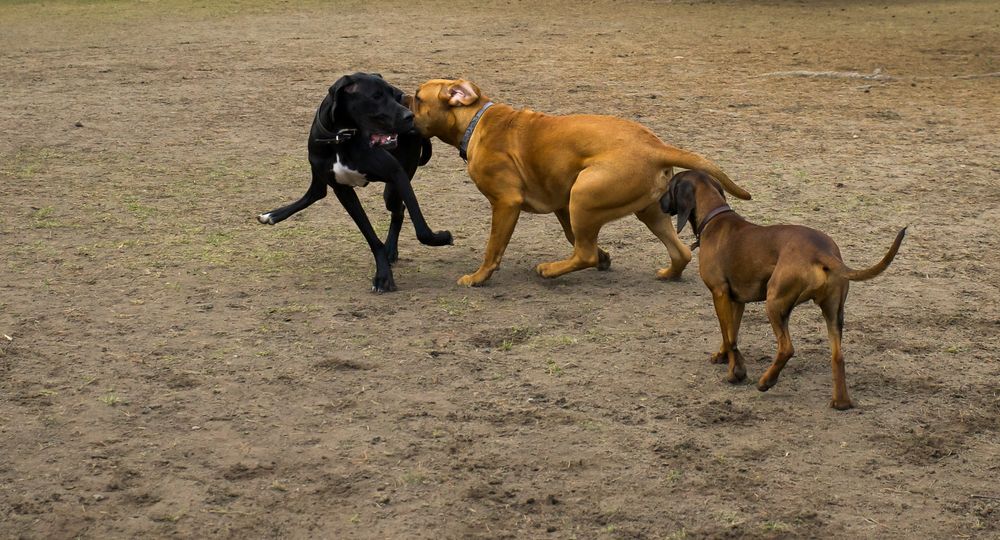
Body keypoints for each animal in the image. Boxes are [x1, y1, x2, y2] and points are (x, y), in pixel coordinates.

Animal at [256, 73, 452, 292]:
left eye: (393, 93)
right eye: (376, 96)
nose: (409, 116)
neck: (341, 138)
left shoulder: (396, 174)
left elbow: (422, 230)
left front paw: (443, 237)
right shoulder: (342, 190)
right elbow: (370, 235)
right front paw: (383, 274)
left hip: (393, 190)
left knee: (398, 209)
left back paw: (392, 249)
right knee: (317, 192)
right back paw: (272, 215)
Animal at [408, 78, 752, 286]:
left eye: (417, 98)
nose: (403, 102)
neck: (476, 122)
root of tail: (655, 146)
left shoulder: (506, 204)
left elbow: (493, 248)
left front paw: (478, 278)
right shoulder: (561, 203)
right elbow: (572, 235)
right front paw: (604, 257)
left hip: (584, 196)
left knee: (583, 254)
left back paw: (549, 270)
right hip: (646, 209)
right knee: (680, 252)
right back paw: (667, 272)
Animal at [664, 169, 908, 410]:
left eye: (669, 186)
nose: (658, 201)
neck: (714, 216)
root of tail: (822, 251)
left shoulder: (720, 293)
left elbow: (730, 336)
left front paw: (736, 373)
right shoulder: (736, 301)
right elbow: (731, 332)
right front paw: (724, 357)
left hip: (775, 304)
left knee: (786, 348)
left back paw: (766, 381)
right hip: (833, 312)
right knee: (838, 356)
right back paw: (841, 402)